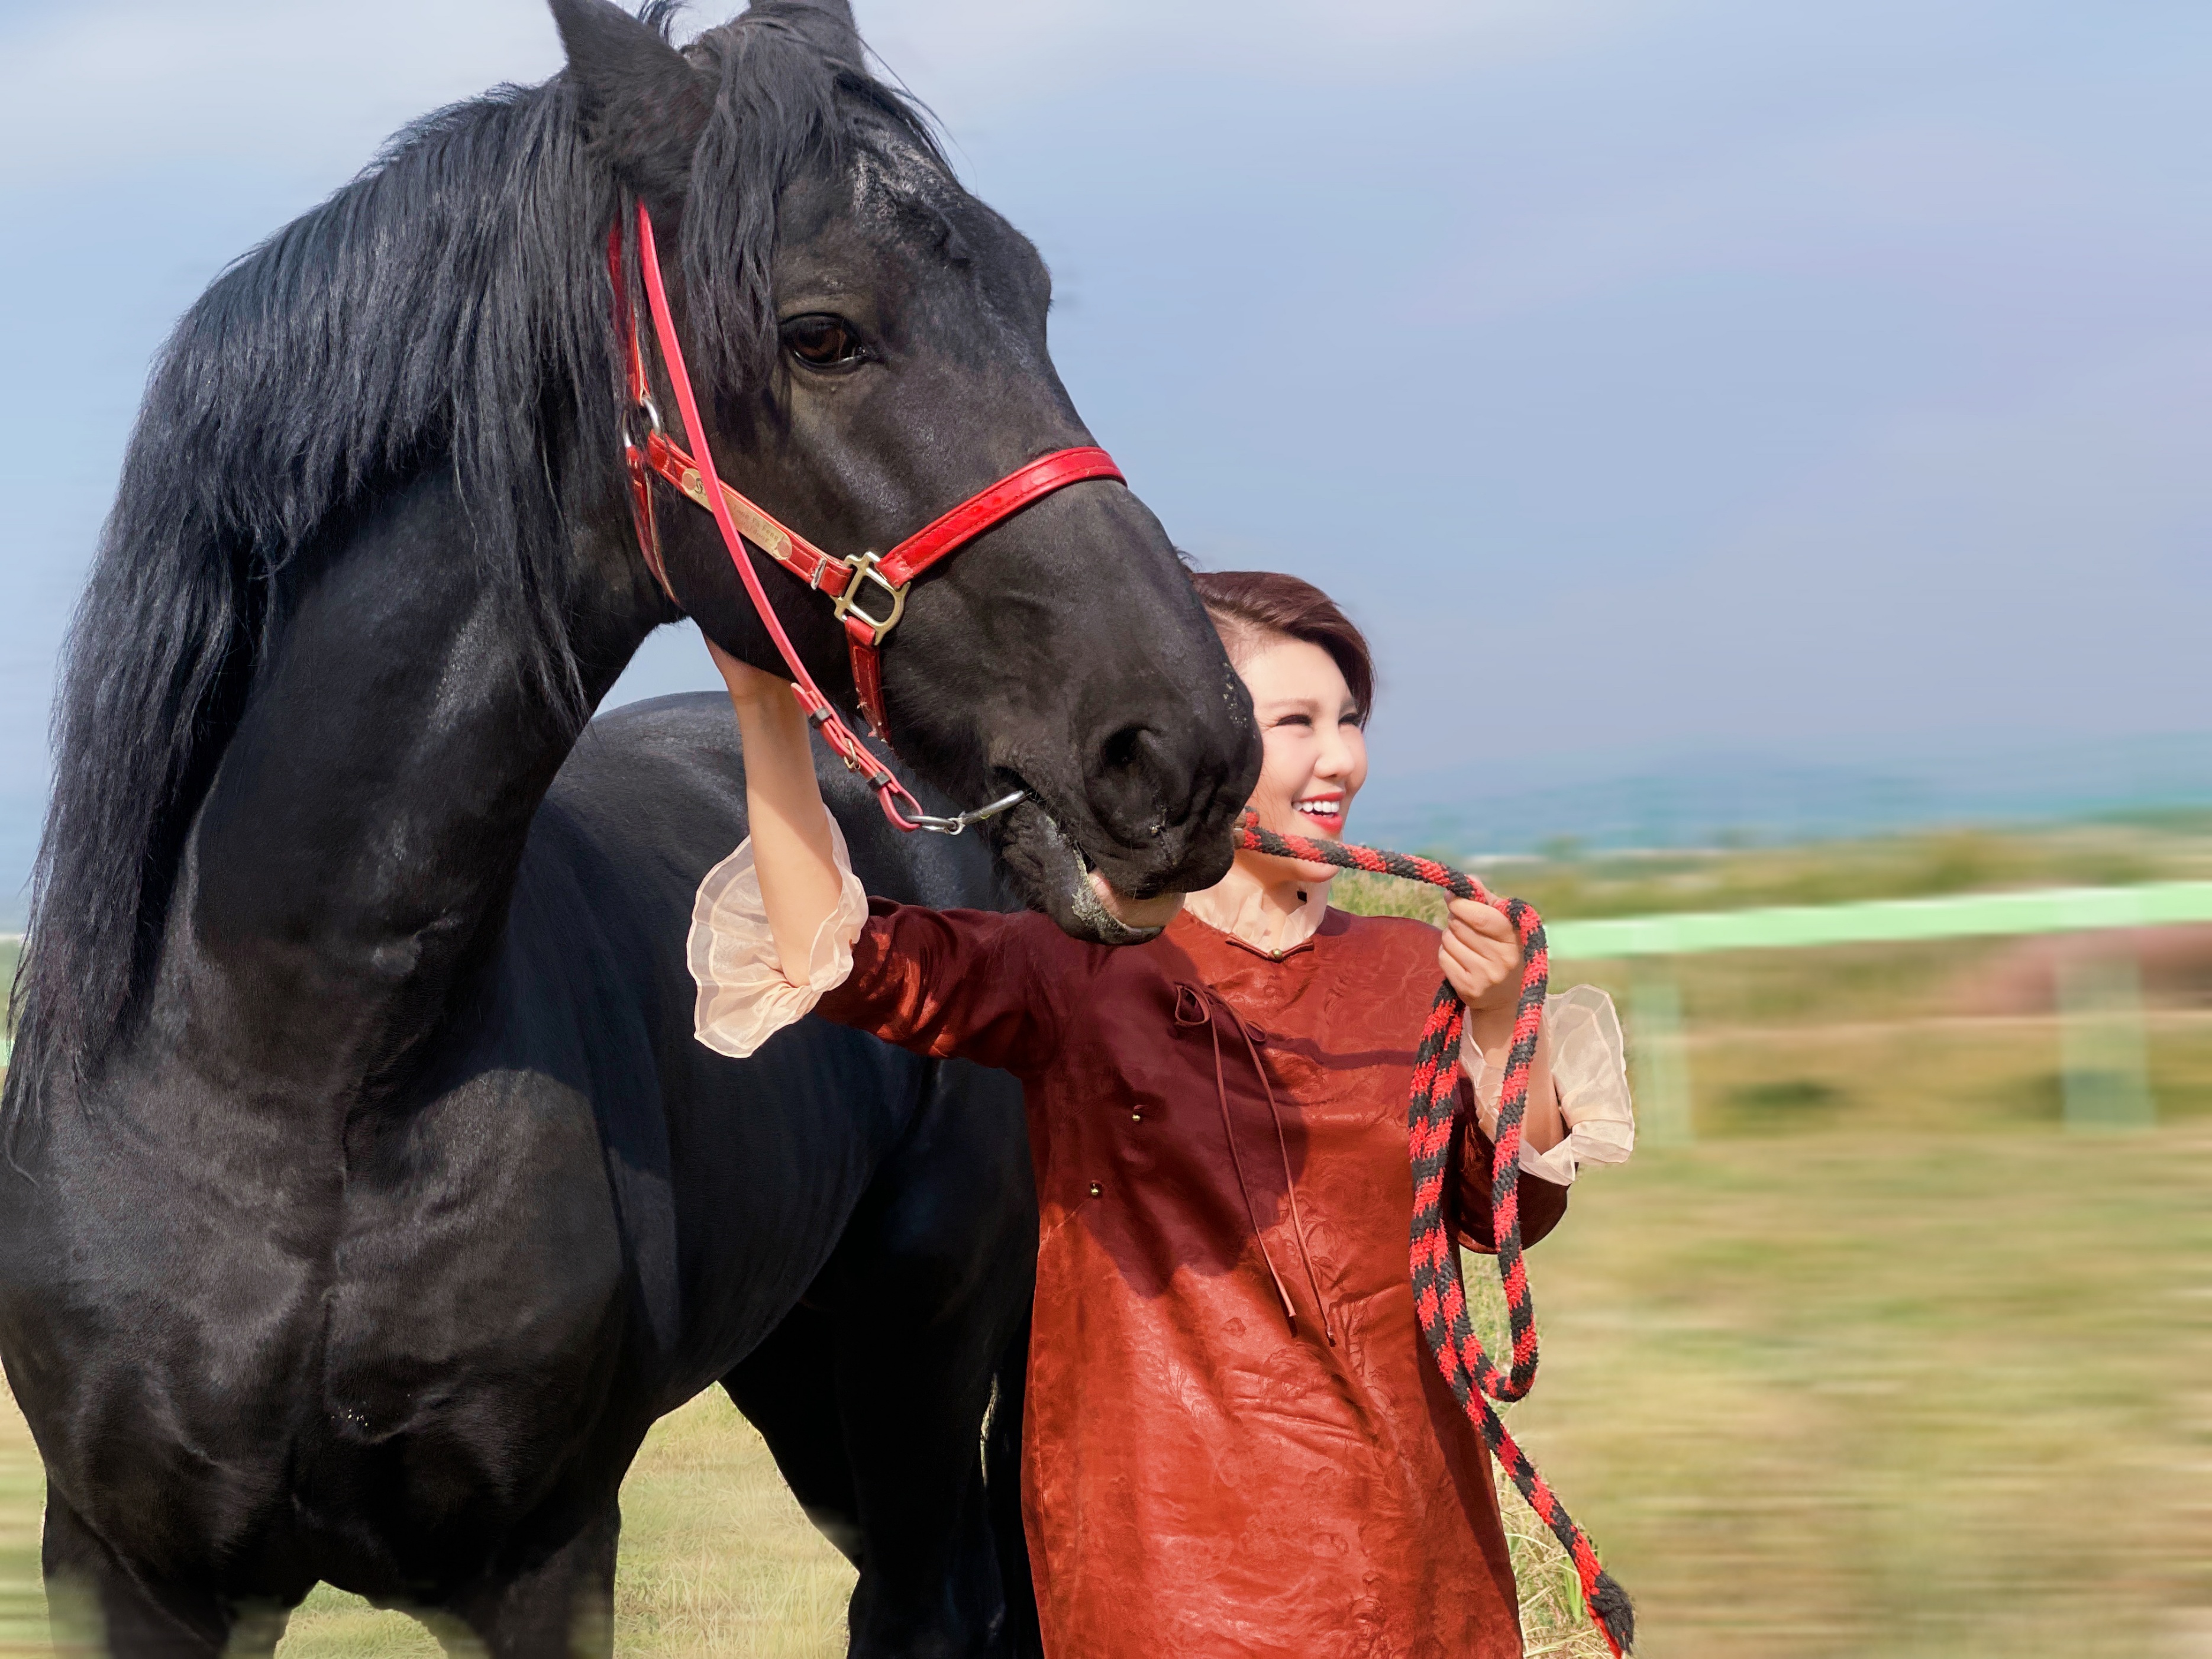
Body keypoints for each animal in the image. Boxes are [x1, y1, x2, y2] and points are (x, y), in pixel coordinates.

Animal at [4, 6, 1265, 1654]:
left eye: (1034, 294)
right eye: (820, 333)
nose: (1187, 746)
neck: (287, 1066)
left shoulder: (540, 1560)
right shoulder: (126, 1569)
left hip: (917, 1344)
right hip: (808, 1366)